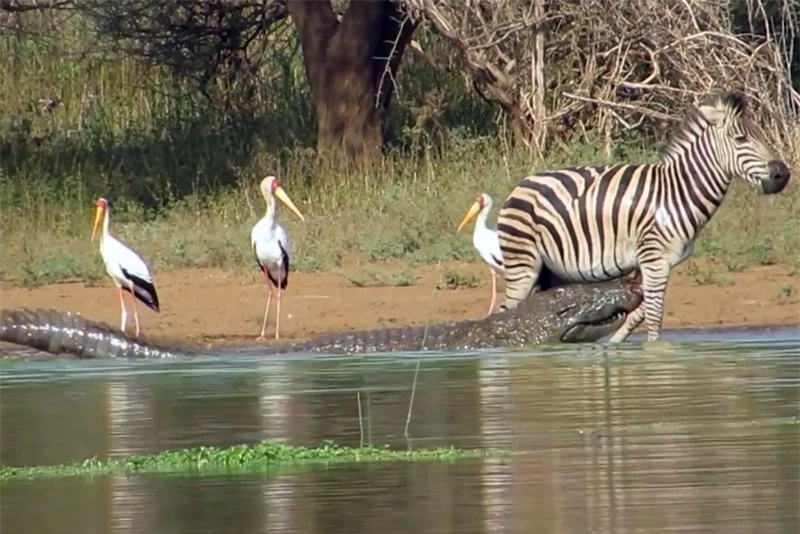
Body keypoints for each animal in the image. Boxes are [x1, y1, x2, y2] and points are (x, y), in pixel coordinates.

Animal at [496, 90, 792, 344]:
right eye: (741, 139)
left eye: (761, 135)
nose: (782, 175)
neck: (678, 193)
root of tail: (522, 184)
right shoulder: (654, 260)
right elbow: (654, 317)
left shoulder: (664, 262)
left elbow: (638, 314)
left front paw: (614, 345)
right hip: (524, 263)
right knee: (508, 312)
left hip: (554, 271)